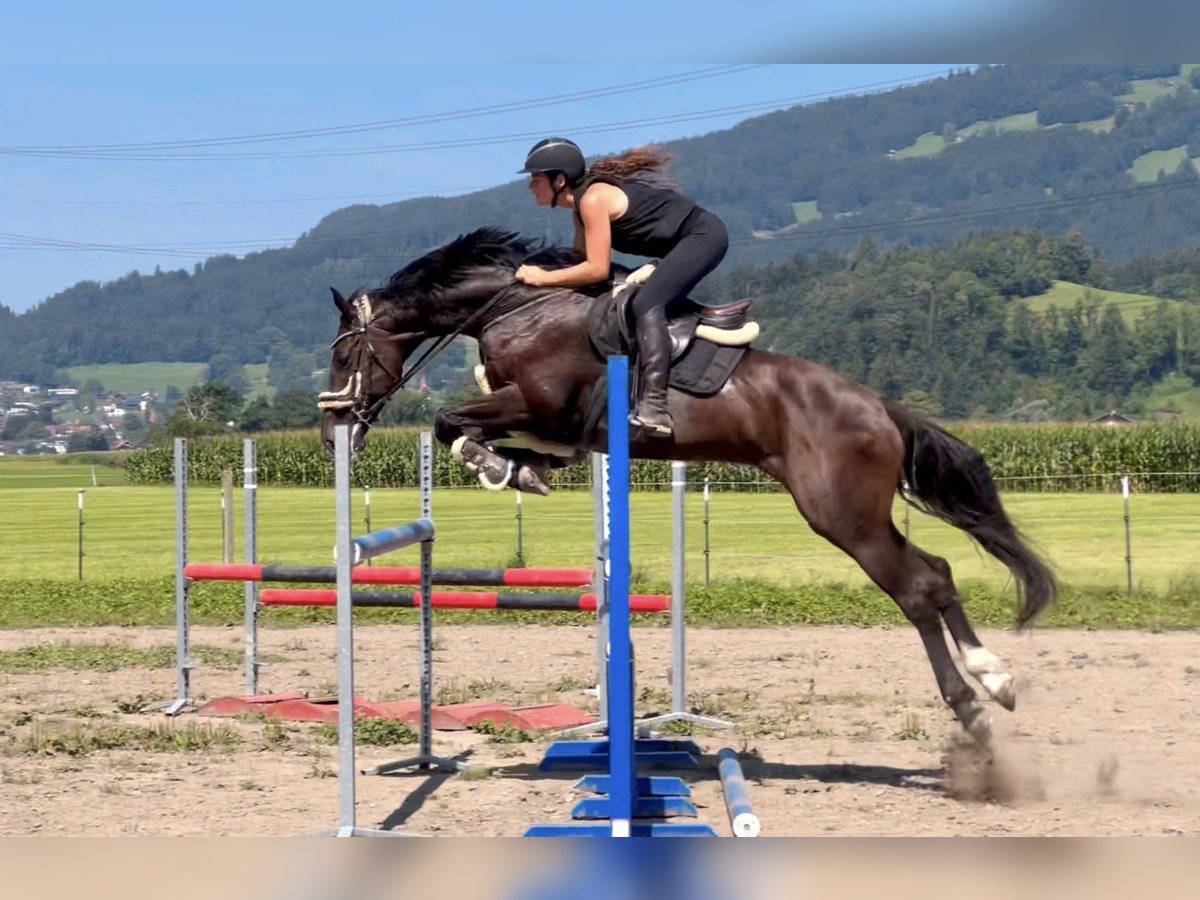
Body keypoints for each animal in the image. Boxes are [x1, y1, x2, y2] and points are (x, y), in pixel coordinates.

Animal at [321, 225, 1060, 748]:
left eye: (345, 352)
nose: (334, 431)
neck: (517, 306)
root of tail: (882, 407)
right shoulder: (551, 422)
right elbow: (498, 437)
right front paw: (522, 469)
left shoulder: (538, 403)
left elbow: (450, 420)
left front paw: (498, 466)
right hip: (859, 515)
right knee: (937, 572)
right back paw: (994, 678)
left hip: (842, 515)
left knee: (917, 587)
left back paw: (973, 704)